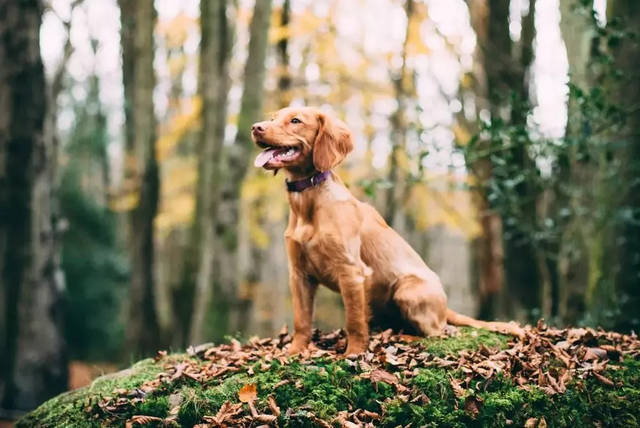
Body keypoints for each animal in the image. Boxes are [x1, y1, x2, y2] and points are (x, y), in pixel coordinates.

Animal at [251, 106, 524, 354]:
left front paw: (353, 354)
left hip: (407, 291)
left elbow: (354, 321)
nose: (256, 127)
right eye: (273, 118)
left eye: (295, 120)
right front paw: (294, 352)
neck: (308, 204)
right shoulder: (299, 274)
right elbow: (302, 320)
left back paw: (405, 337)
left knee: (437, 332)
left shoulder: (351, 271)